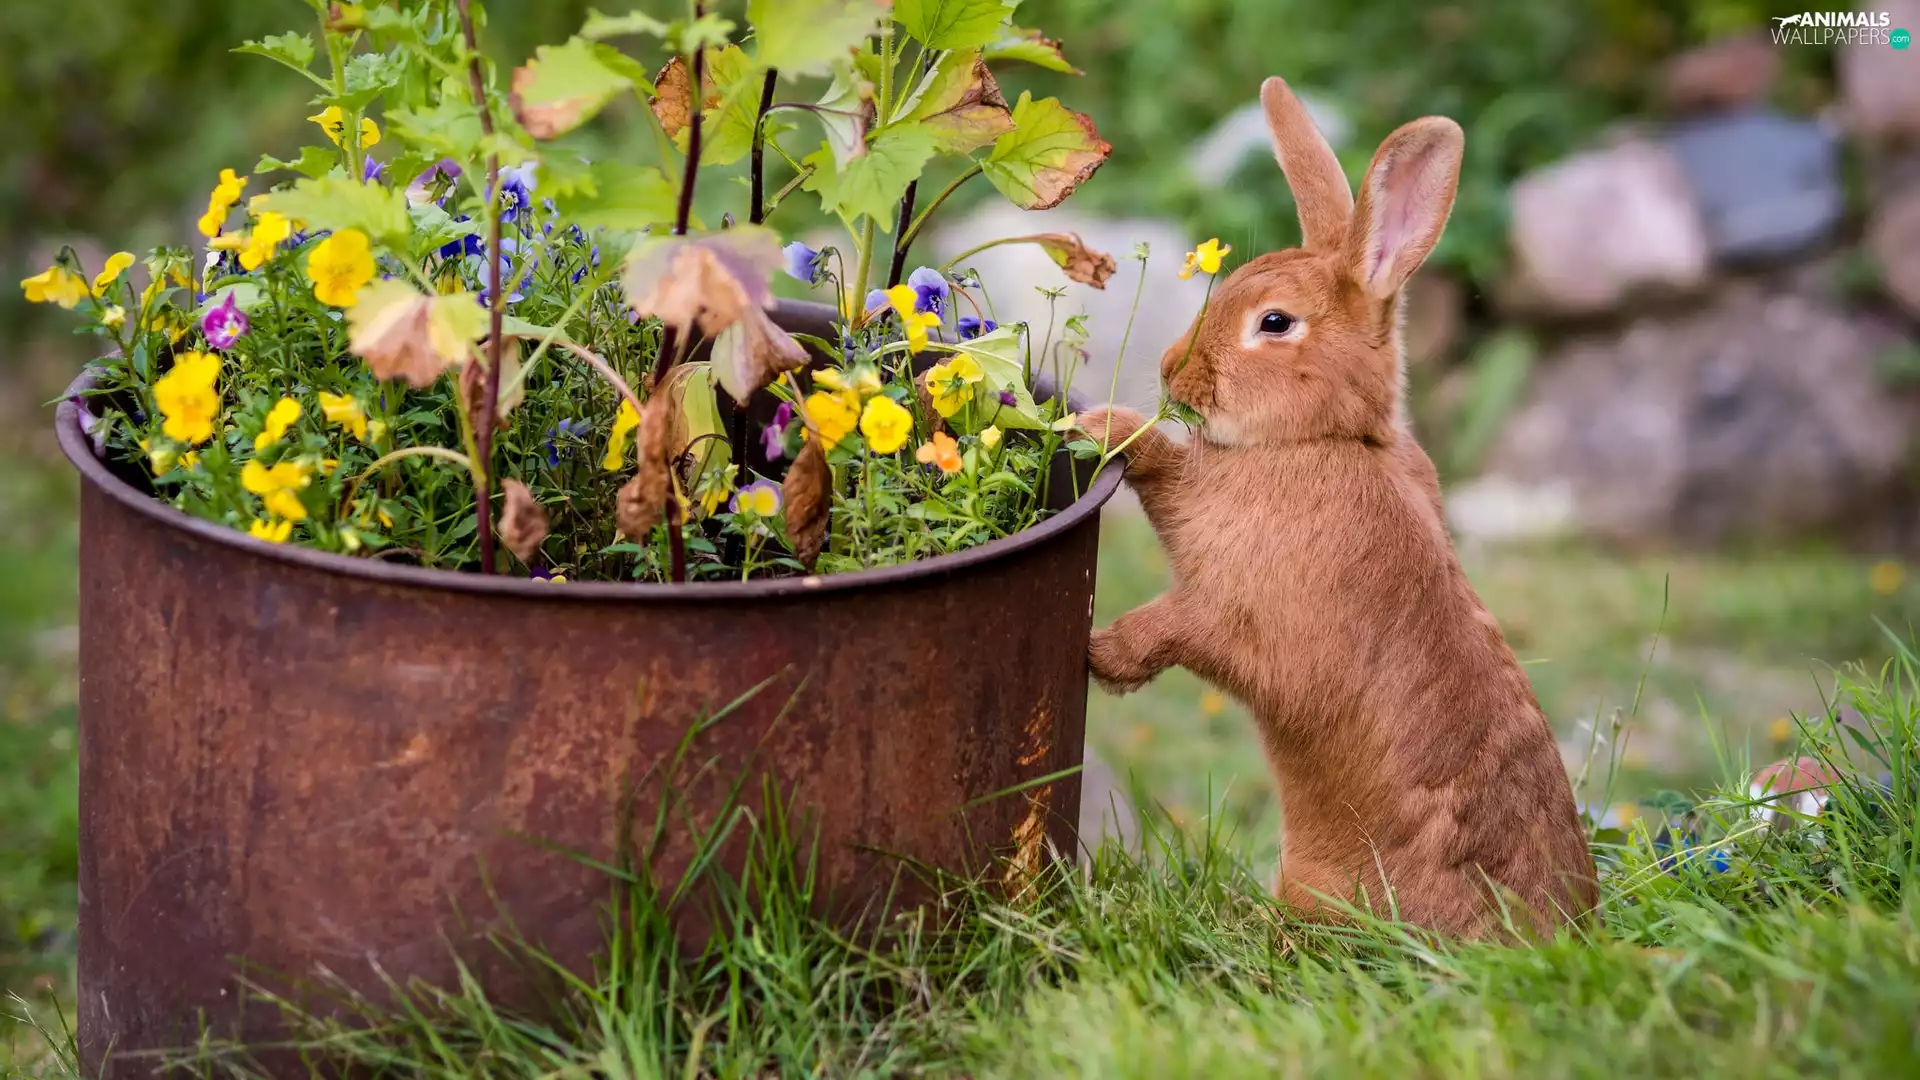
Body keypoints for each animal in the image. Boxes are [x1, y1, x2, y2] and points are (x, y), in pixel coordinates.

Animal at [1078, 77, 1598, 938]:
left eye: (1274, 323)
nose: (1171, 372)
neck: (1330, 437)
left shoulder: (1229, 610)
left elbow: (1171, 615)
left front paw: (1100, 653)